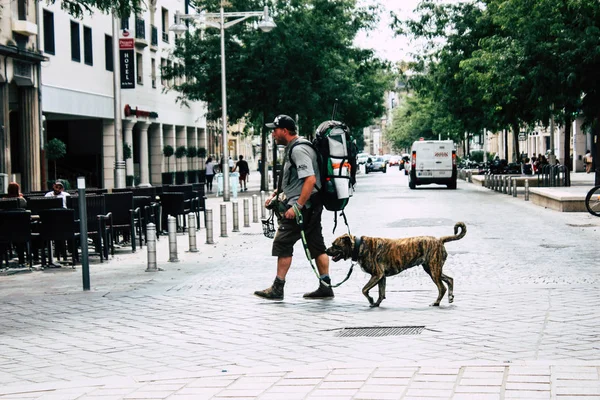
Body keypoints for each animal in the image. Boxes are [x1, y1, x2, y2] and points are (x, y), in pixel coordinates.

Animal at [326, 222, 466, 306]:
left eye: (335, 245)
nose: (326, 251)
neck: (359, 245)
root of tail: (439, 240)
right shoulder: (381, 277)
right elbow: (381, 292)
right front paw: (376, 303)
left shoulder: (376, 275)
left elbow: (364, 290)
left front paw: (371, 300)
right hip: (432, 269)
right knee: (450, 279)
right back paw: (450, 296)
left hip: (433, 270)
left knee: (442, 288)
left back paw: (436, 302)